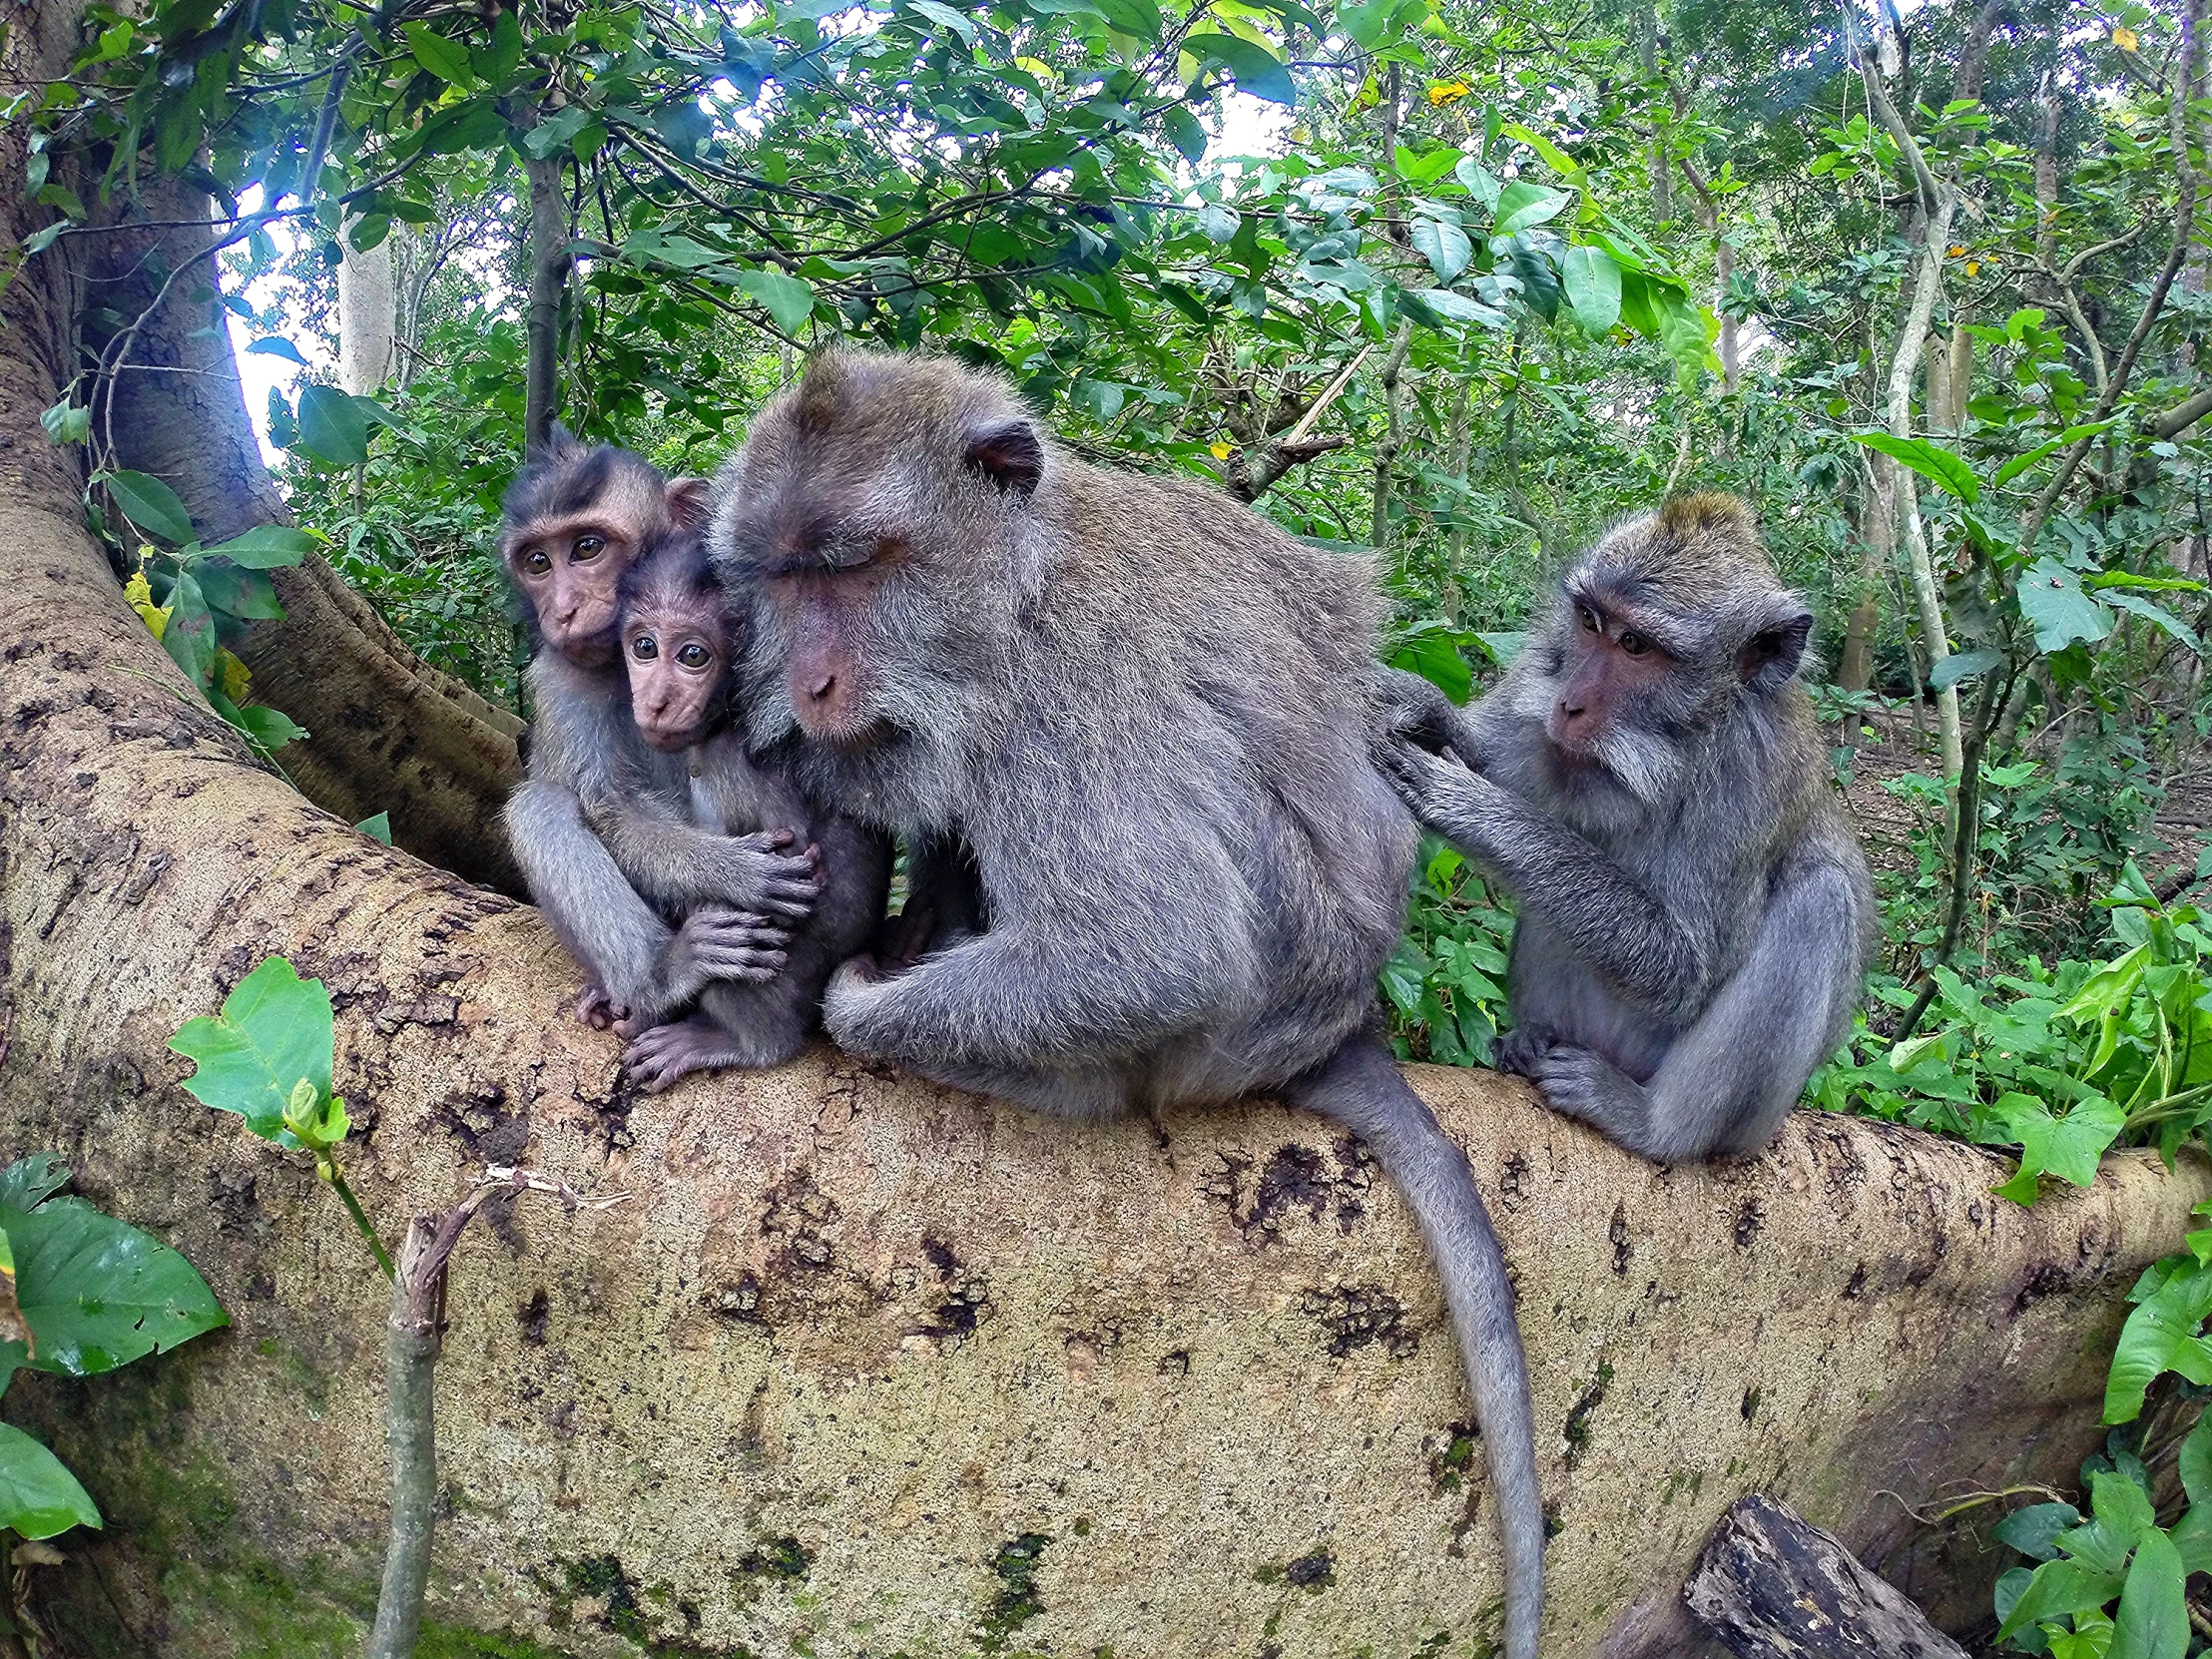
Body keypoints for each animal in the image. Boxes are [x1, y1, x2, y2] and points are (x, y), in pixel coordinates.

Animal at [493, 435, 823, 1043]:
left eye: (587, 548)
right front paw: (734, 873)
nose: (563, 610)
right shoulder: (561, 676)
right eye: (537, 562)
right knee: (540, 806)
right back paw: (662, 976)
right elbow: (611, 805)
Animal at [708, 351, 1539, 1659]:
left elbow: (1156, 951)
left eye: (855, 569)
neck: (1023, 579)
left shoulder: (1059, 692)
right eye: (785, 581)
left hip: (1249, 1009)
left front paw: (856, 998)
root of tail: (1340, 1018)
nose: (809, 680)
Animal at [1380, 497, 1867, 1168]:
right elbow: (1493, 751)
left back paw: (1652, 1124)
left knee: (1820, 901)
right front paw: (1420, 706)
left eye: (1636, 646)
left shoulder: (1751, 771)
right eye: (1591, 622)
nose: (1569, 705)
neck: (1683, 742)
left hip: (1730, 1110)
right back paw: (1532, 1042)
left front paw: (1465, 803)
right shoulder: (1545, 664)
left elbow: (1687, 969)